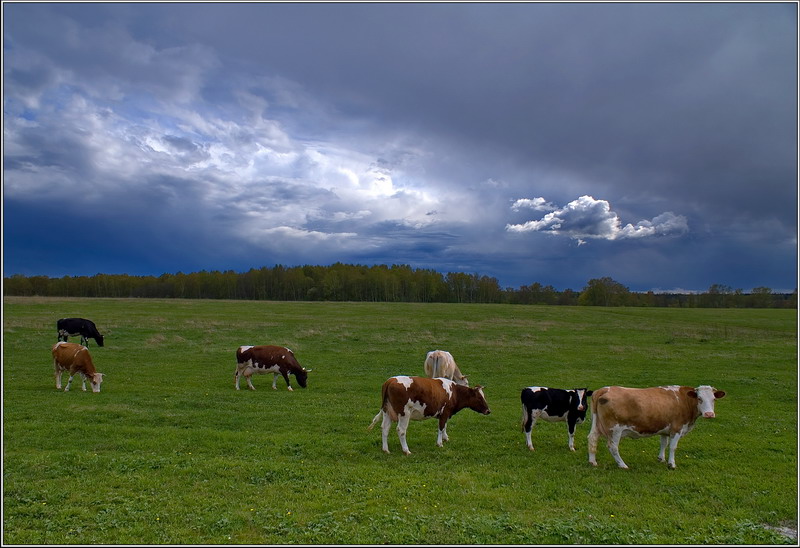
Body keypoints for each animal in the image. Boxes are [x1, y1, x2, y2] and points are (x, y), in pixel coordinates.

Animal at [588, 384, 724, 468]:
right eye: (699, 398)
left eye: (714, 399)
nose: (709, 414)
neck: (683, 400)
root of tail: (604, 389)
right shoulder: (677, 428)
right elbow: (673, 447)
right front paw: (671, 464)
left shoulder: (665, 429)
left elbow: (663, 443)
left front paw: (661, 459)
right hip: (615, 429)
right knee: (613, 446)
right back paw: (622, 465)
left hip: (597, 425)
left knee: (592, 439)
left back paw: (592, 462)